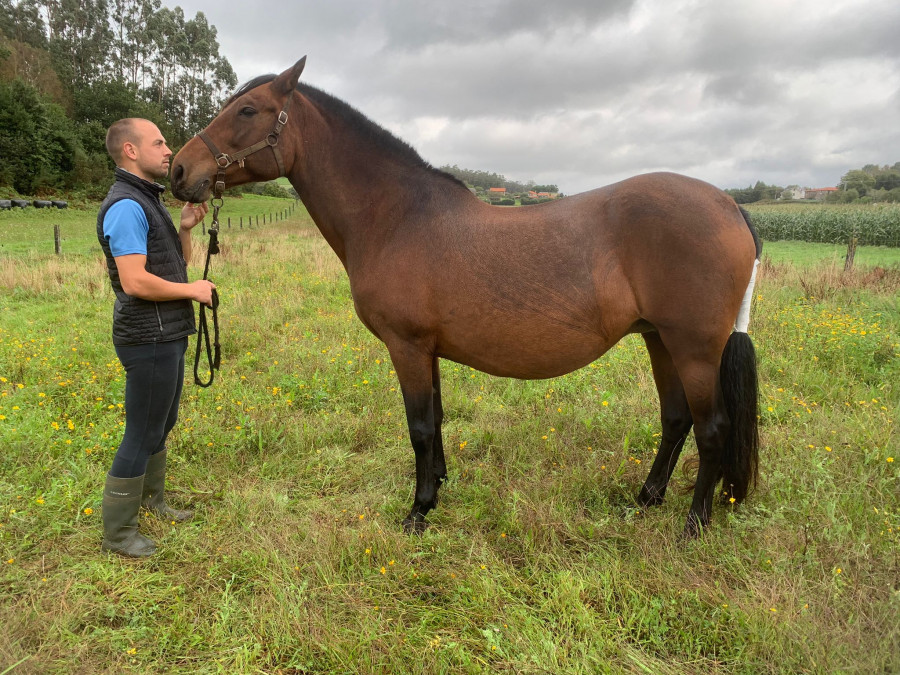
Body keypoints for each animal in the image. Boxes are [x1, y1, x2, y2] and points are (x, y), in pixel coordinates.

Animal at [169, 58, 760, 540]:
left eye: (248, 110)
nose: (178, 170)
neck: (396, 215)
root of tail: (729, 205)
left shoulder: (406, 346)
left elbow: (419, 426)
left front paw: (418, 510)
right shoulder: (427, 349)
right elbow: (437, 419)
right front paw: (439, 486)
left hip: (694, 349)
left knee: (712, 429)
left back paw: (693, 523)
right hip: (660, 340)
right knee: (676, 419)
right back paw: (645, 499)